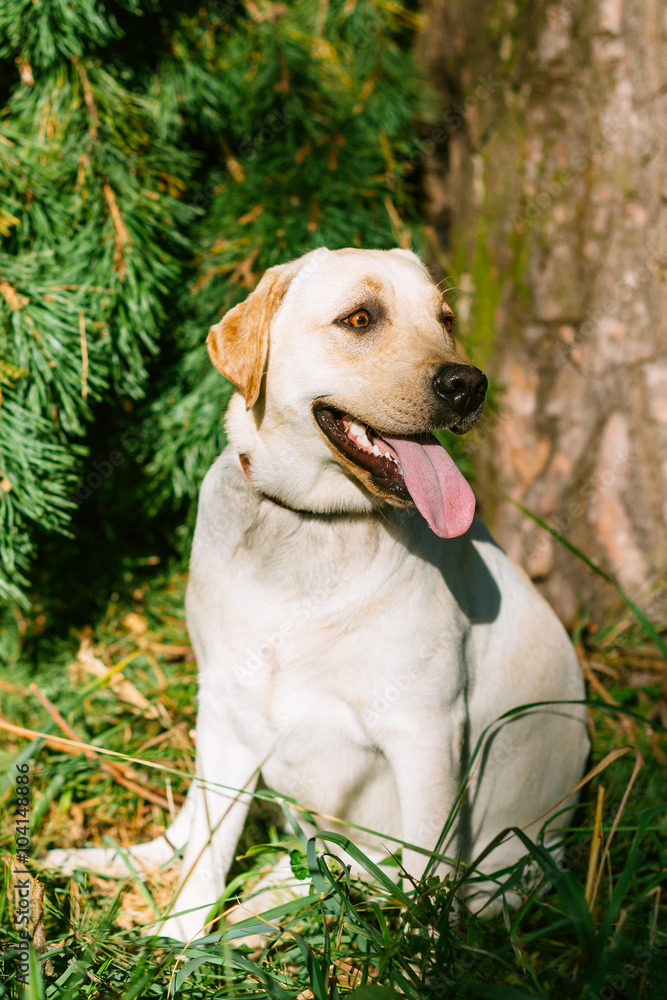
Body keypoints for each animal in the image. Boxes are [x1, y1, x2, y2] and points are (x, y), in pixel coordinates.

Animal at [48, 246, 588, 940]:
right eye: (359, 318)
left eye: (445, 320)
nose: (468, 384)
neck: (314, 525)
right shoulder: (229, 710)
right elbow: (205, 856)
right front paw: (178, 941)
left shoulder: (426, 735)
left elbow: (427, 887)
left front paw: (426, 959)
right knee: (190, 832)